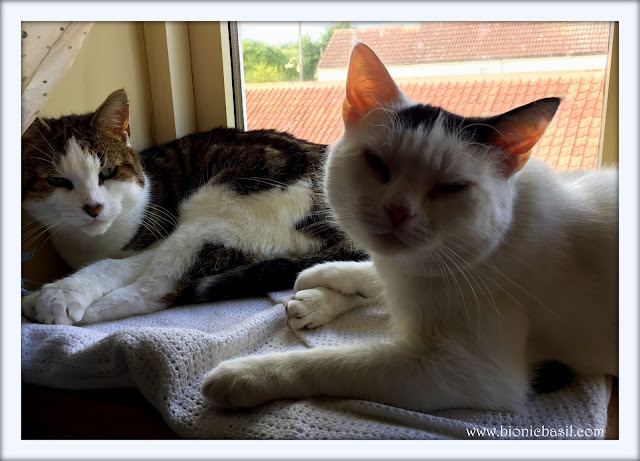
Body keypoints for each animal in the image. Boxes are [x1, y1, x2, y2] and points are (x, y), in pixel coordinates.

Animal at [21, 90, 364, 324]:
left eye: (108, 172)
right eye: (57, 181)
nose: (93, 207)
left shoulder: (154, 238)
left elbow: (112, 266)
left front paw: (61, 293)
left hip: (221, 205)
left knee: (156, 289)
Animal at [202, 42, 616, 410]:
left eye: (450, 187)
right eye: (377, 163)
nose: (398, 210)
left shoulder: (466, 371)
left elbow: (338, 363)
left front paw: (246, 375)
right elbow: (376, 278)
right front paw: (323, 283)